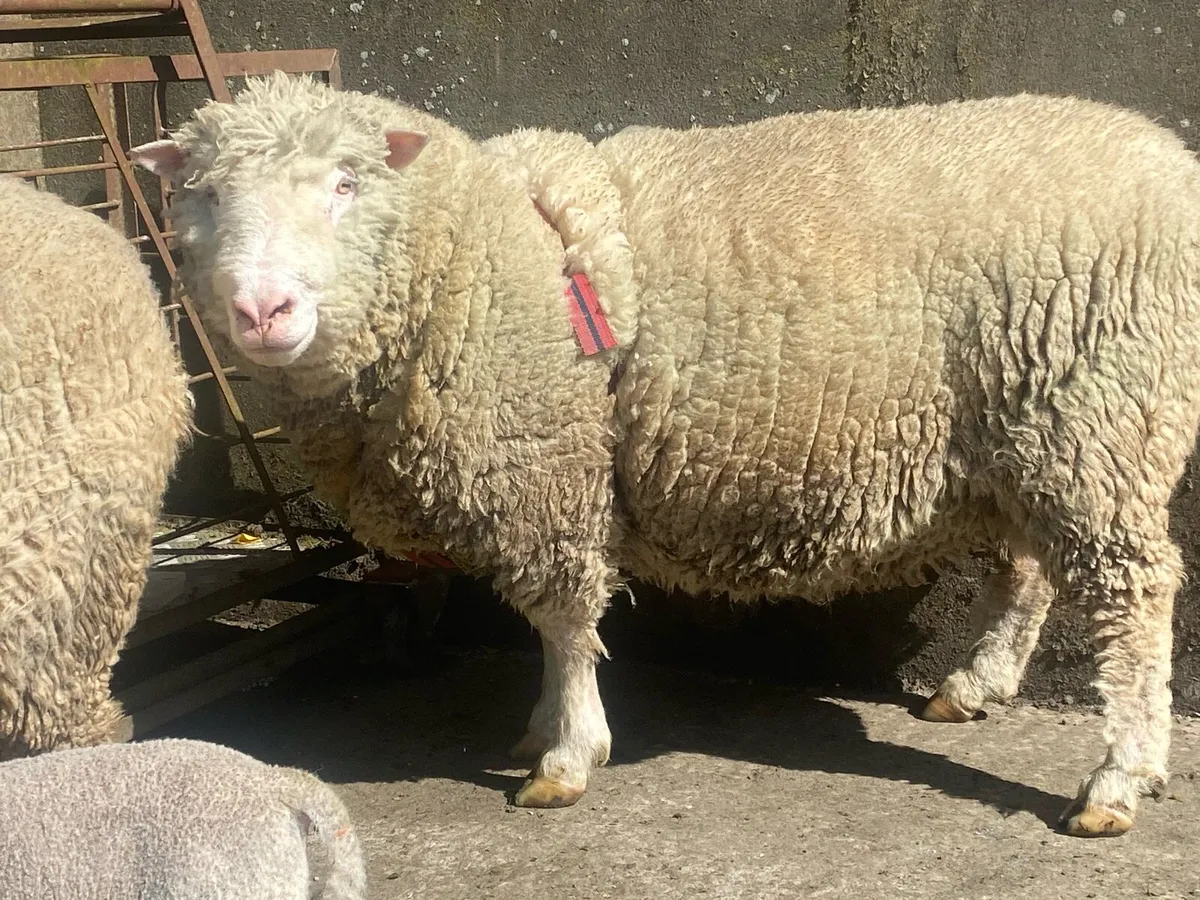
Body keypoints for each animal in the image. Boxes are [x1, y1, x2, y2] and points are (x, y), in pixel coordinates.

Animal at [130, 73, 1200, 837]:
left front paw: (566, 753)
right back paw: (977, 685)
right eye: (206, 199)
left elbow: (563, 620)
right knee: (1031, 568)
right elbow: (550, 625)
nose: (261, 310)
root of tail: (1171, 161)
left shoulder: (549, 469)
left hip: (1100, 417)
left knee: (1135, 592)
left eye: (345, 186)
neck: (479, 250)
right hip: (1026, 434)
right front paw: (544, 730)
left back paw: (1117, 778)